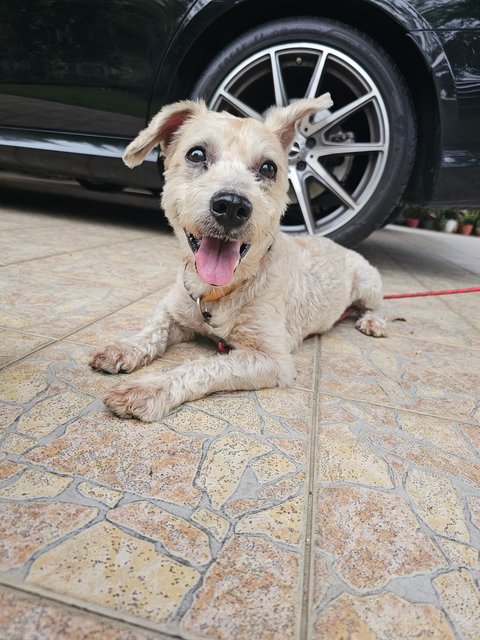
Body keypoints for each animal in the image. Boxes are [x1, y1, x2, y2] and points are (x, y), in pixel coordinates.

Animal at [88, 92, 384, 418]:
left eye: (268, 168)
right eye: (196, 155)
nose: (231, 205)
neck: (216, 293)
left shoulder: (272, 358)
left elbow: (203, 367)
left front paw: (149, 389)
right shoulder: (174, 311)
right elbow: (153, 329)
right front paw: (123, 348)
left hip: (368, 283)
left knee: (376, 305)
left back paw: (372, 322)